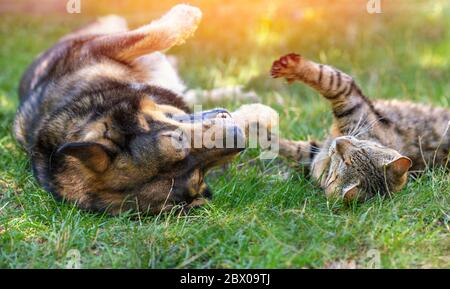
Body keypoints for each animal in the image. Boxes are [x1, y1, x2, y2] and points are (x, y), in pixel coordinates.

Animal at [270, 53, 450, 200]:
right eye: (362, 147)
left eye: (344, 161)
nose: (339, 142)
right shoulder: (316, 151)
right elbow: (288, 147)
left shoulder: (349, 97)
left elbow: (326, 77)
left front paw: (291, 66)